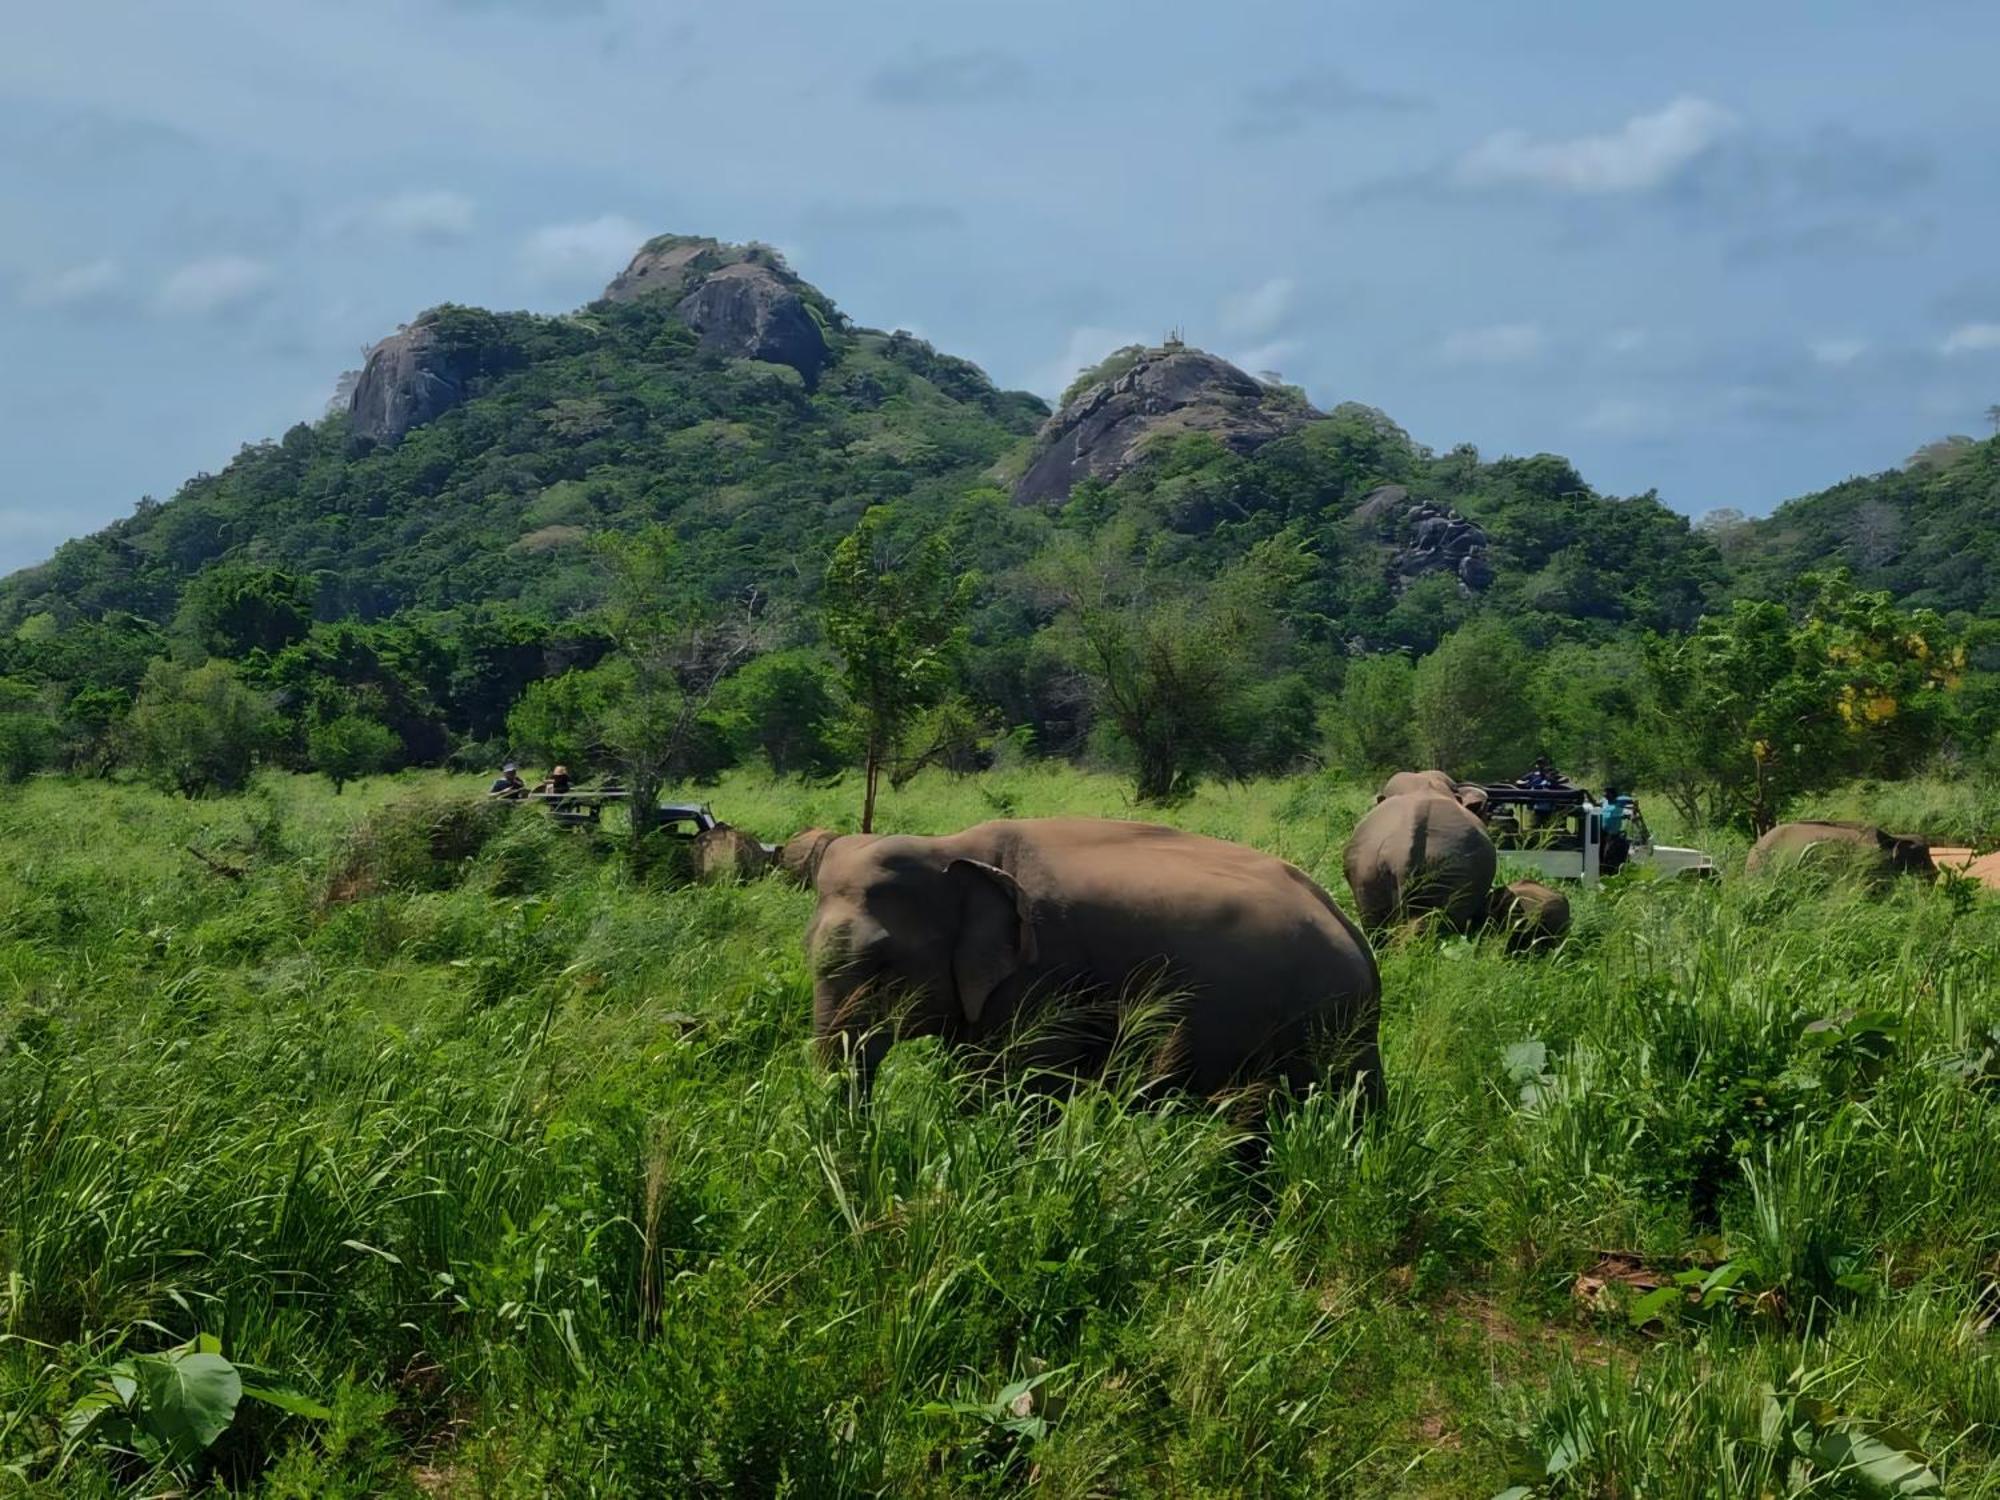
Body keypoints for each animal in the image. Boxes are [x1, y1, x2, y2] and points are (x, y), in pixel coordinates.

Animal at [804, 824, 1384, 1104]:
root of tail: (1355, 938)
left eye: (881, 961)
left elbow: (1013, 1089)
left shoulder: (1042, 976)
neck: (949, 847)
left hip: (1326, 1020)